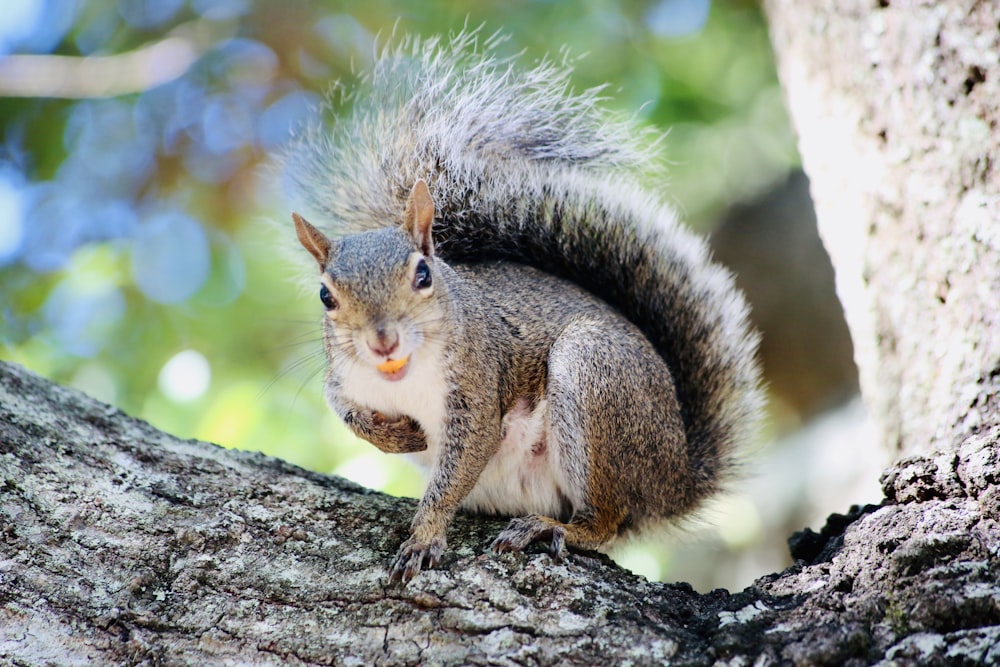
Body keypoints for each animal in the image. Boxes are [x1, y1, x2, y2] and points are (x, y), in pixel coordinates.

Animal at [284, 32, 764, 584]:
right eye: (326, 296)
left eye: (423, 275)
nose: (383, 341)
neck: (399, 378)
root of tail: (676, 478)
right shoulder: (343, 378)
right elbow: (343, 411)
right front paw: (395, 437)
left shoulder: (476, 387)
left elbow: (460, 463)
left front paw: (424, 537)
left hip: (594, 376)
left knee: (605, 521)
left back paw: (554, 528)